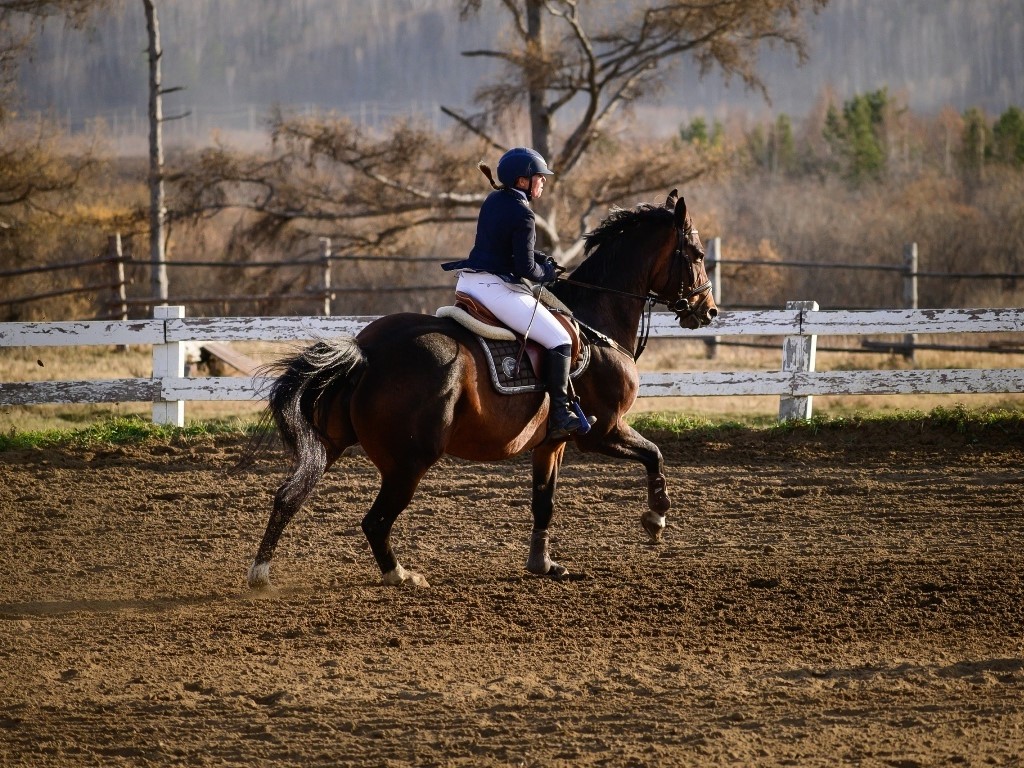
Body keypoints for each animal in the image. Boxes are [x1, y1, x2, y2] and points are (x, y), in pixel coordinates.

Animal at [245, 189, 720, 585]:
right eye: (696, 253)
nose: (708, 310)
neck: (596, 319)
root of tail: (367, 350)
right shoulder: (603, 431)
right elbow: (654, 455)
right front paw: (656, 519)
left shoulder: (552, 444)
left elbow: (544, 501)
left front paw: (543, 564)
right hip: (409, 462)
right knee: (374, 521)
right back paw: (400, 574)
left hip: (331, 444)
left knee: (289, 496)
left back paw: (261, 573)